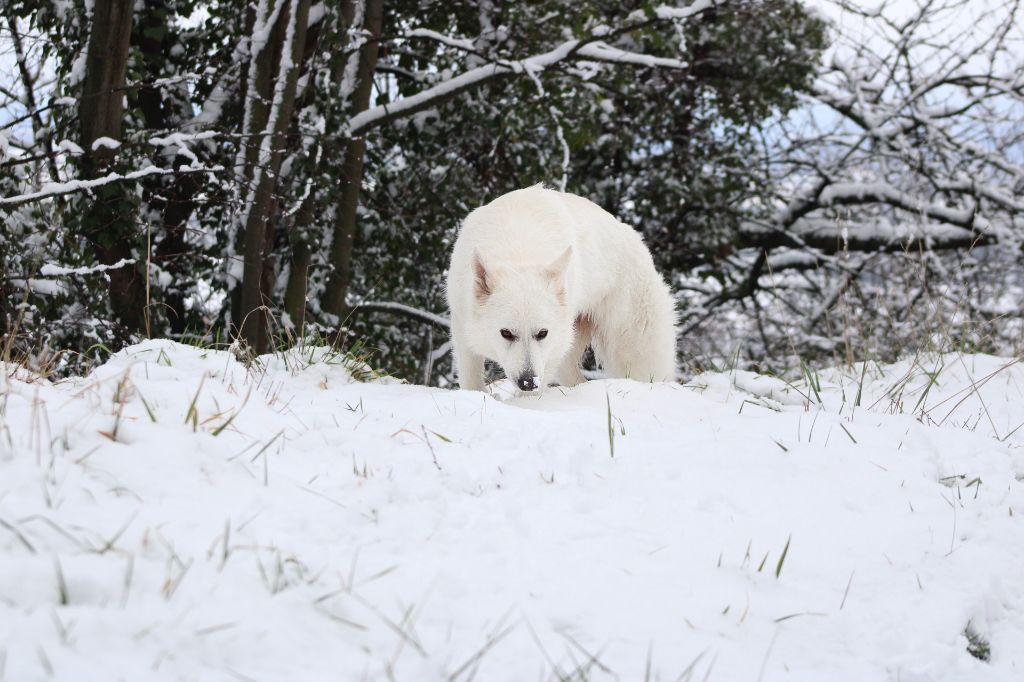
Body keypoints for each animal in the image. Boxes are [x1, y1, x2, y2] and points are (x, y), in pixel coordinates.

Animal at [446, 183, 671, 391]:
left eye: (542, 333)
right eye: (506, 333)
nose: (528, 382)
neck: (519, 250)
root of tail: (637, 239)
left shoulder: (551, 347)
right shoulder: (461, 321)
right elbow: (471, 375)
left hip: (631, 343)